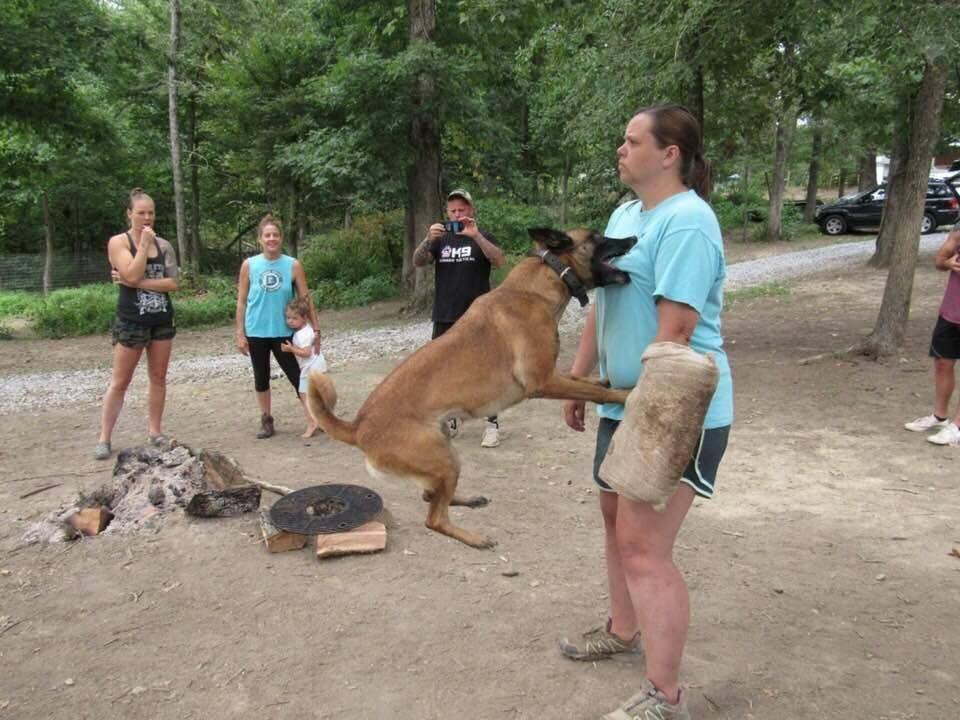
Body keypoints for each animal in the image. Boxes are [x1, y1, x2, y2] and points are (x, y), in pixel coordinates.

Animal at [307, 227, 637, 549]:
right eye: (597, 237)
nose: (633, 238)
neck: (538, 286)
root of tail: (358, 428)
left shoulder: (553, 374)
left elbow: (584, 381)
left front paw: (604, 379)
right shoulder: (543, 380)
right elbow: (597, 393)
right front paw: (625, 394)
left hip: (443, 454)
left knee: (430, 496)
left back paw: (467, 500)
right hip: (443, 460)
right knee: (434, 518)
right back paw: (475, 538)